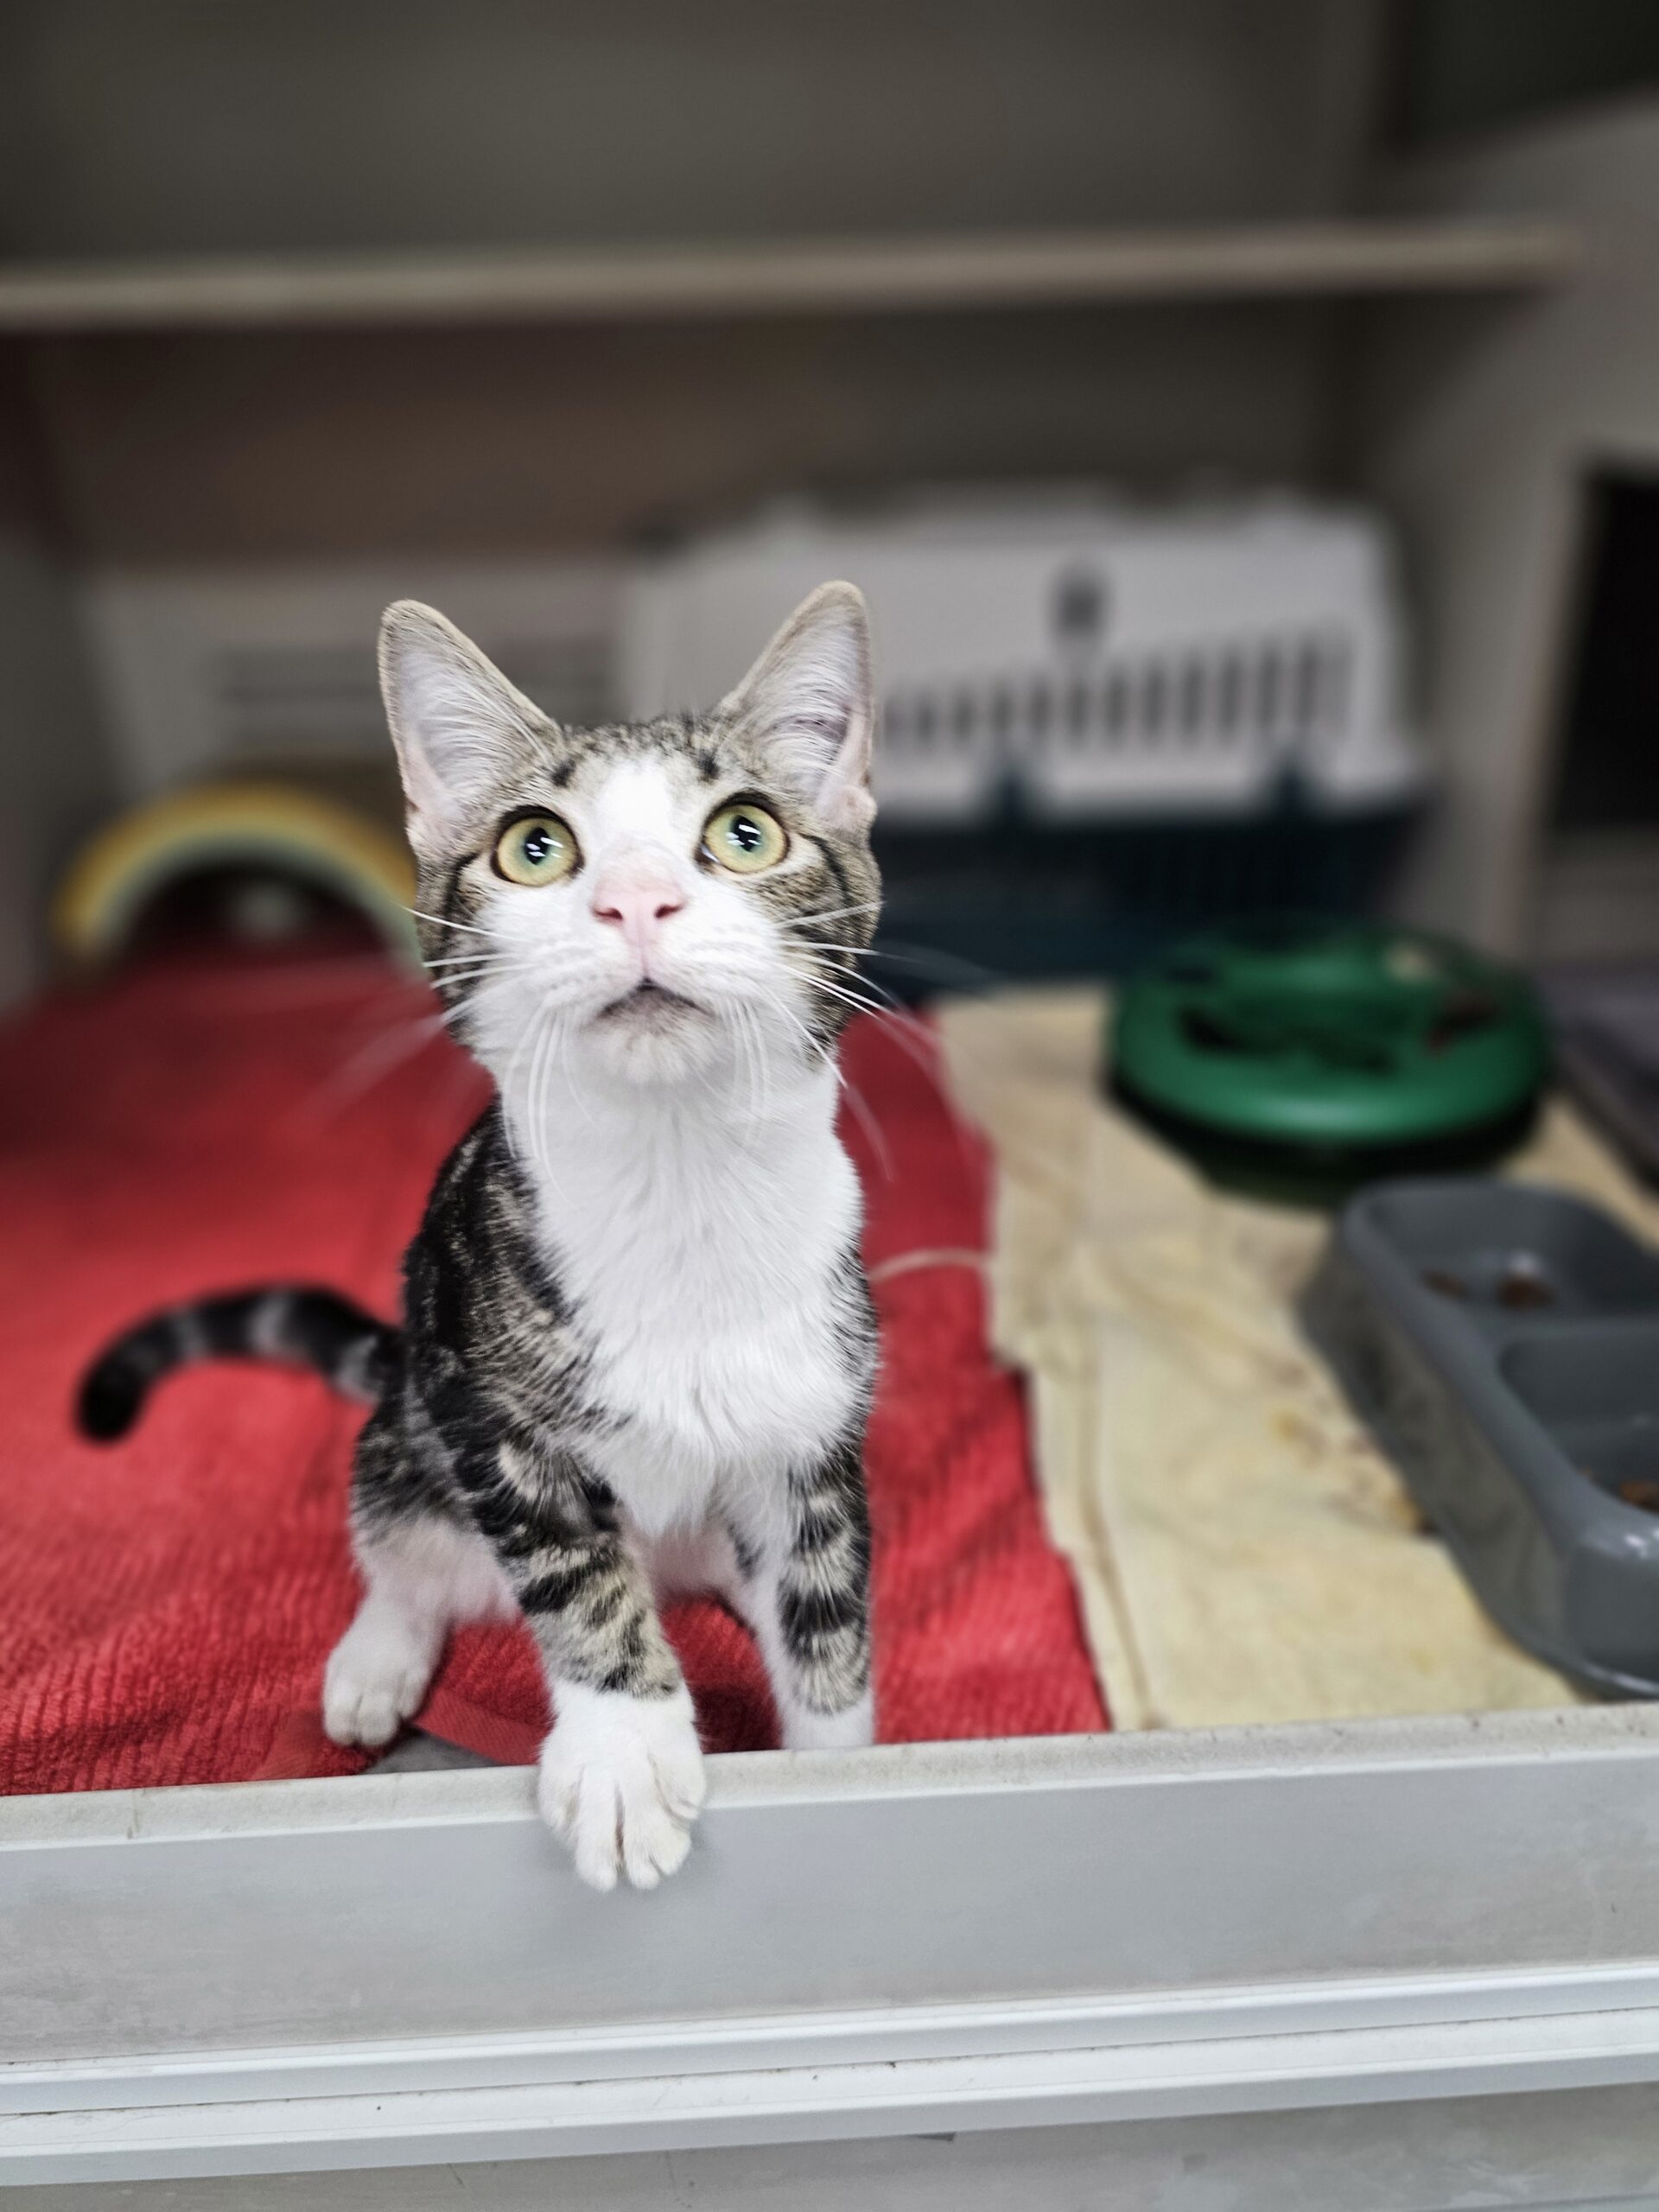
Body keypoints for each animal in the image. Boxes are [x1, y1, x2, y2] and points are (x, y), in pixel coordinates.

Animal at [78, 581, 883, 1890]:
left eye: (747, 833)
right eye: (535, 848)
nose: (638, 899)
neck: (678, 1181)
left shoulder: (818, 1423)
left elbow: (828, 1614)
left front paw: (842, 1763)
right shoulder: (485, 1417)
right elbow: (571, 1573)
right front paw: (624, 1751)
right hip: (408, 1413)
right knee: (405, 1540)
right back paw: (377, 1658)